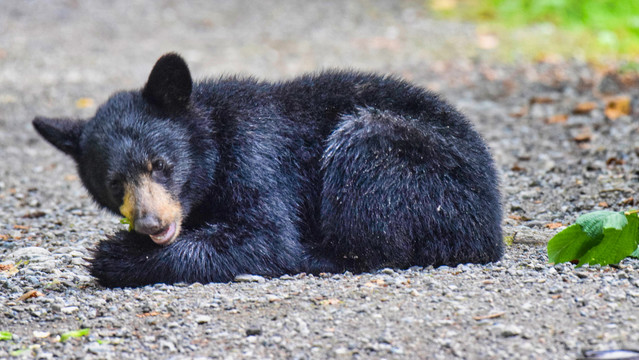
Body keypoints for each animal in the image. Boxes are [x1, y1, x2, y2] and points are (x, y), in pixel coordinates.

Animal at [32, 52, 504, 286]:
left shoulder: (256, 154)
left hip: (411, 165)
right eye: (115, 183)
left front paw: (116, 255)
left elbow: (265, 236)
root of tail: (493, 222)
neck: (214, 144)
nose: (151, 223)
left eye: (161, 165)